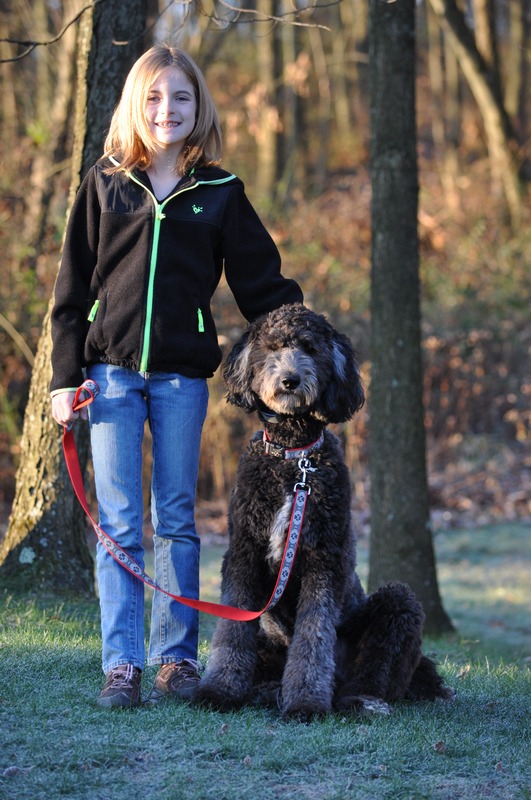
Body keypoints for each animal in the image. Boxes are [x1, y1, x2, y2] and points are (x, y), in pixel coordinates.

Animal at [193, 304, 450, 720]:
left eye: (310, 349)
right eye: (272, 347)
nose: (290, 380)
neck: (294, 459)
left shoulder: (322, 559)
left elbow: (313, 639)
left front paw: (306, 702)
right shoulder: (244, 554)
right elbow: (230, 635)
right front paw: (219, 690)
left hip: (398, 606)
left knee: (376, 675)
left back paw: (358, 699)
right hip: (266, 637)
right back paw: (266, 691)